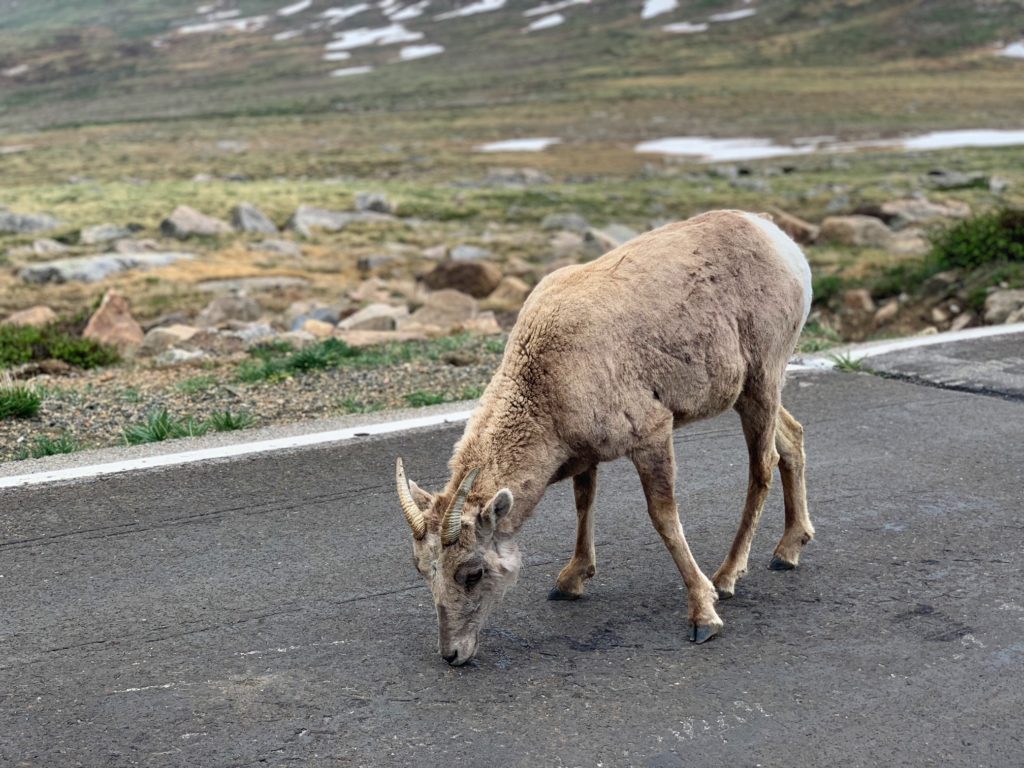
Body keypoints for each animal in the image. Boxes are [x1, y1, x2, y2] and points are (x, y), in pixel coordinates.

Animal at [395, 210, 811, 667]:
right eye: (422, 569)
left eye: (472, 573)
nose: (452, 654)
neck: (545, 377)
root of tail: (778, 240)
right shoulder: (585, 455)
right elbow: (584, 502)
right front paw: (571, 582)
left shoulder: (652, 434)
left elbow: (664, 519)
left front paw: (704, 617)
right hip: (749, 394)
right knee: (792, 438)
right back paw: (788, 552)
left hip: (761, 382)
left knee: (763, 465)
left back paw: (727, 577)